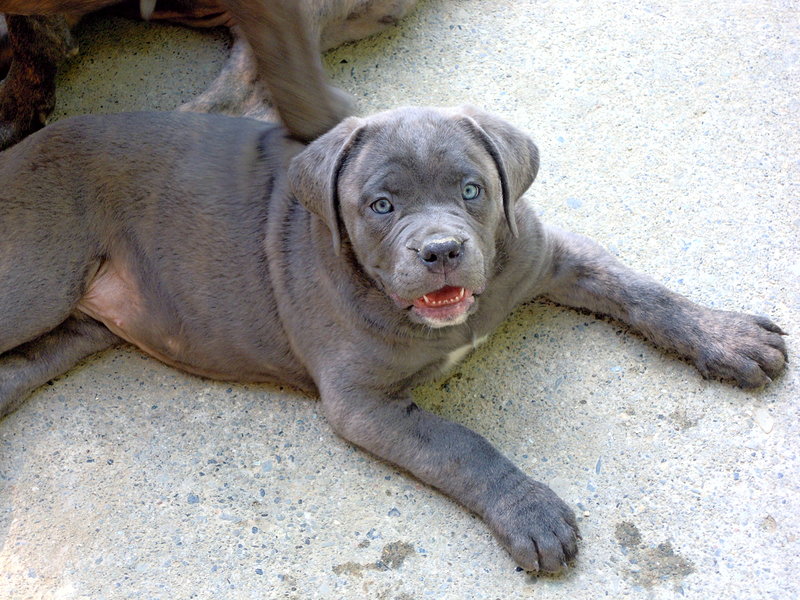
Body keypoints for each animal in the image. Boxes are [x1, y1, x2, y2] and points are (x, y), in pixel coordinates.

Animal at [0, 106, 788, 572]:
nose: (440, 250)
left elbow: (640, 289)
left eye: (472, 190)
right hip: (31, 287)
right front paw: (528, 510)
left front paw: (725, 336)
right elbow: (460, 444)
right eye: (380, 205)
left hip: (63, 336)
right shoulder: (364, 403)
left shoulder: (554, 256)